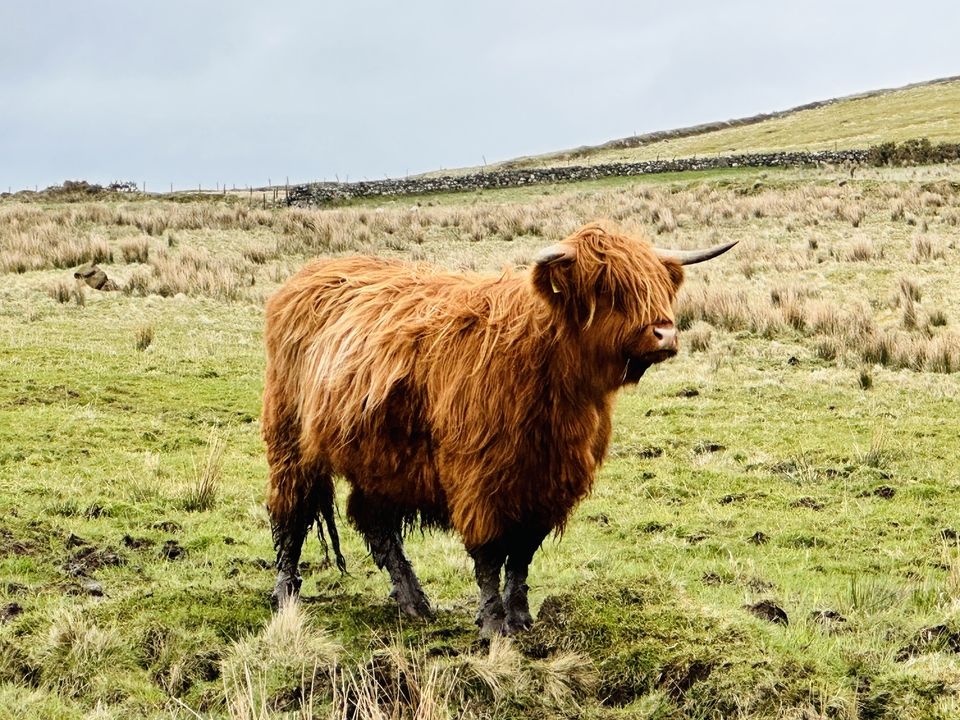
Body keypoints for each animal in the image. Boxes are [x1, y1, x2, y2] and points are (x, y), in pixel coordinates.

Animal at [261, 220, 735, 635]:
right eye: (607, 288)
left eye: (659, 284)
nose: (665, 333)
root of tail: (305, 276)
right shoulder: (477, 477)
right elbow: (489, 554)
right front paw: (492, 625)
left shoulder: (548, 484)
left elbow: (522, 554)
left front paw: (521, 617)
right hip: (289, 440)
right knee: (290, 514)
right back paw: (286, 594)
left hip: (380, 457)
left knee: (375, 522)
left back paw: (414, 602)